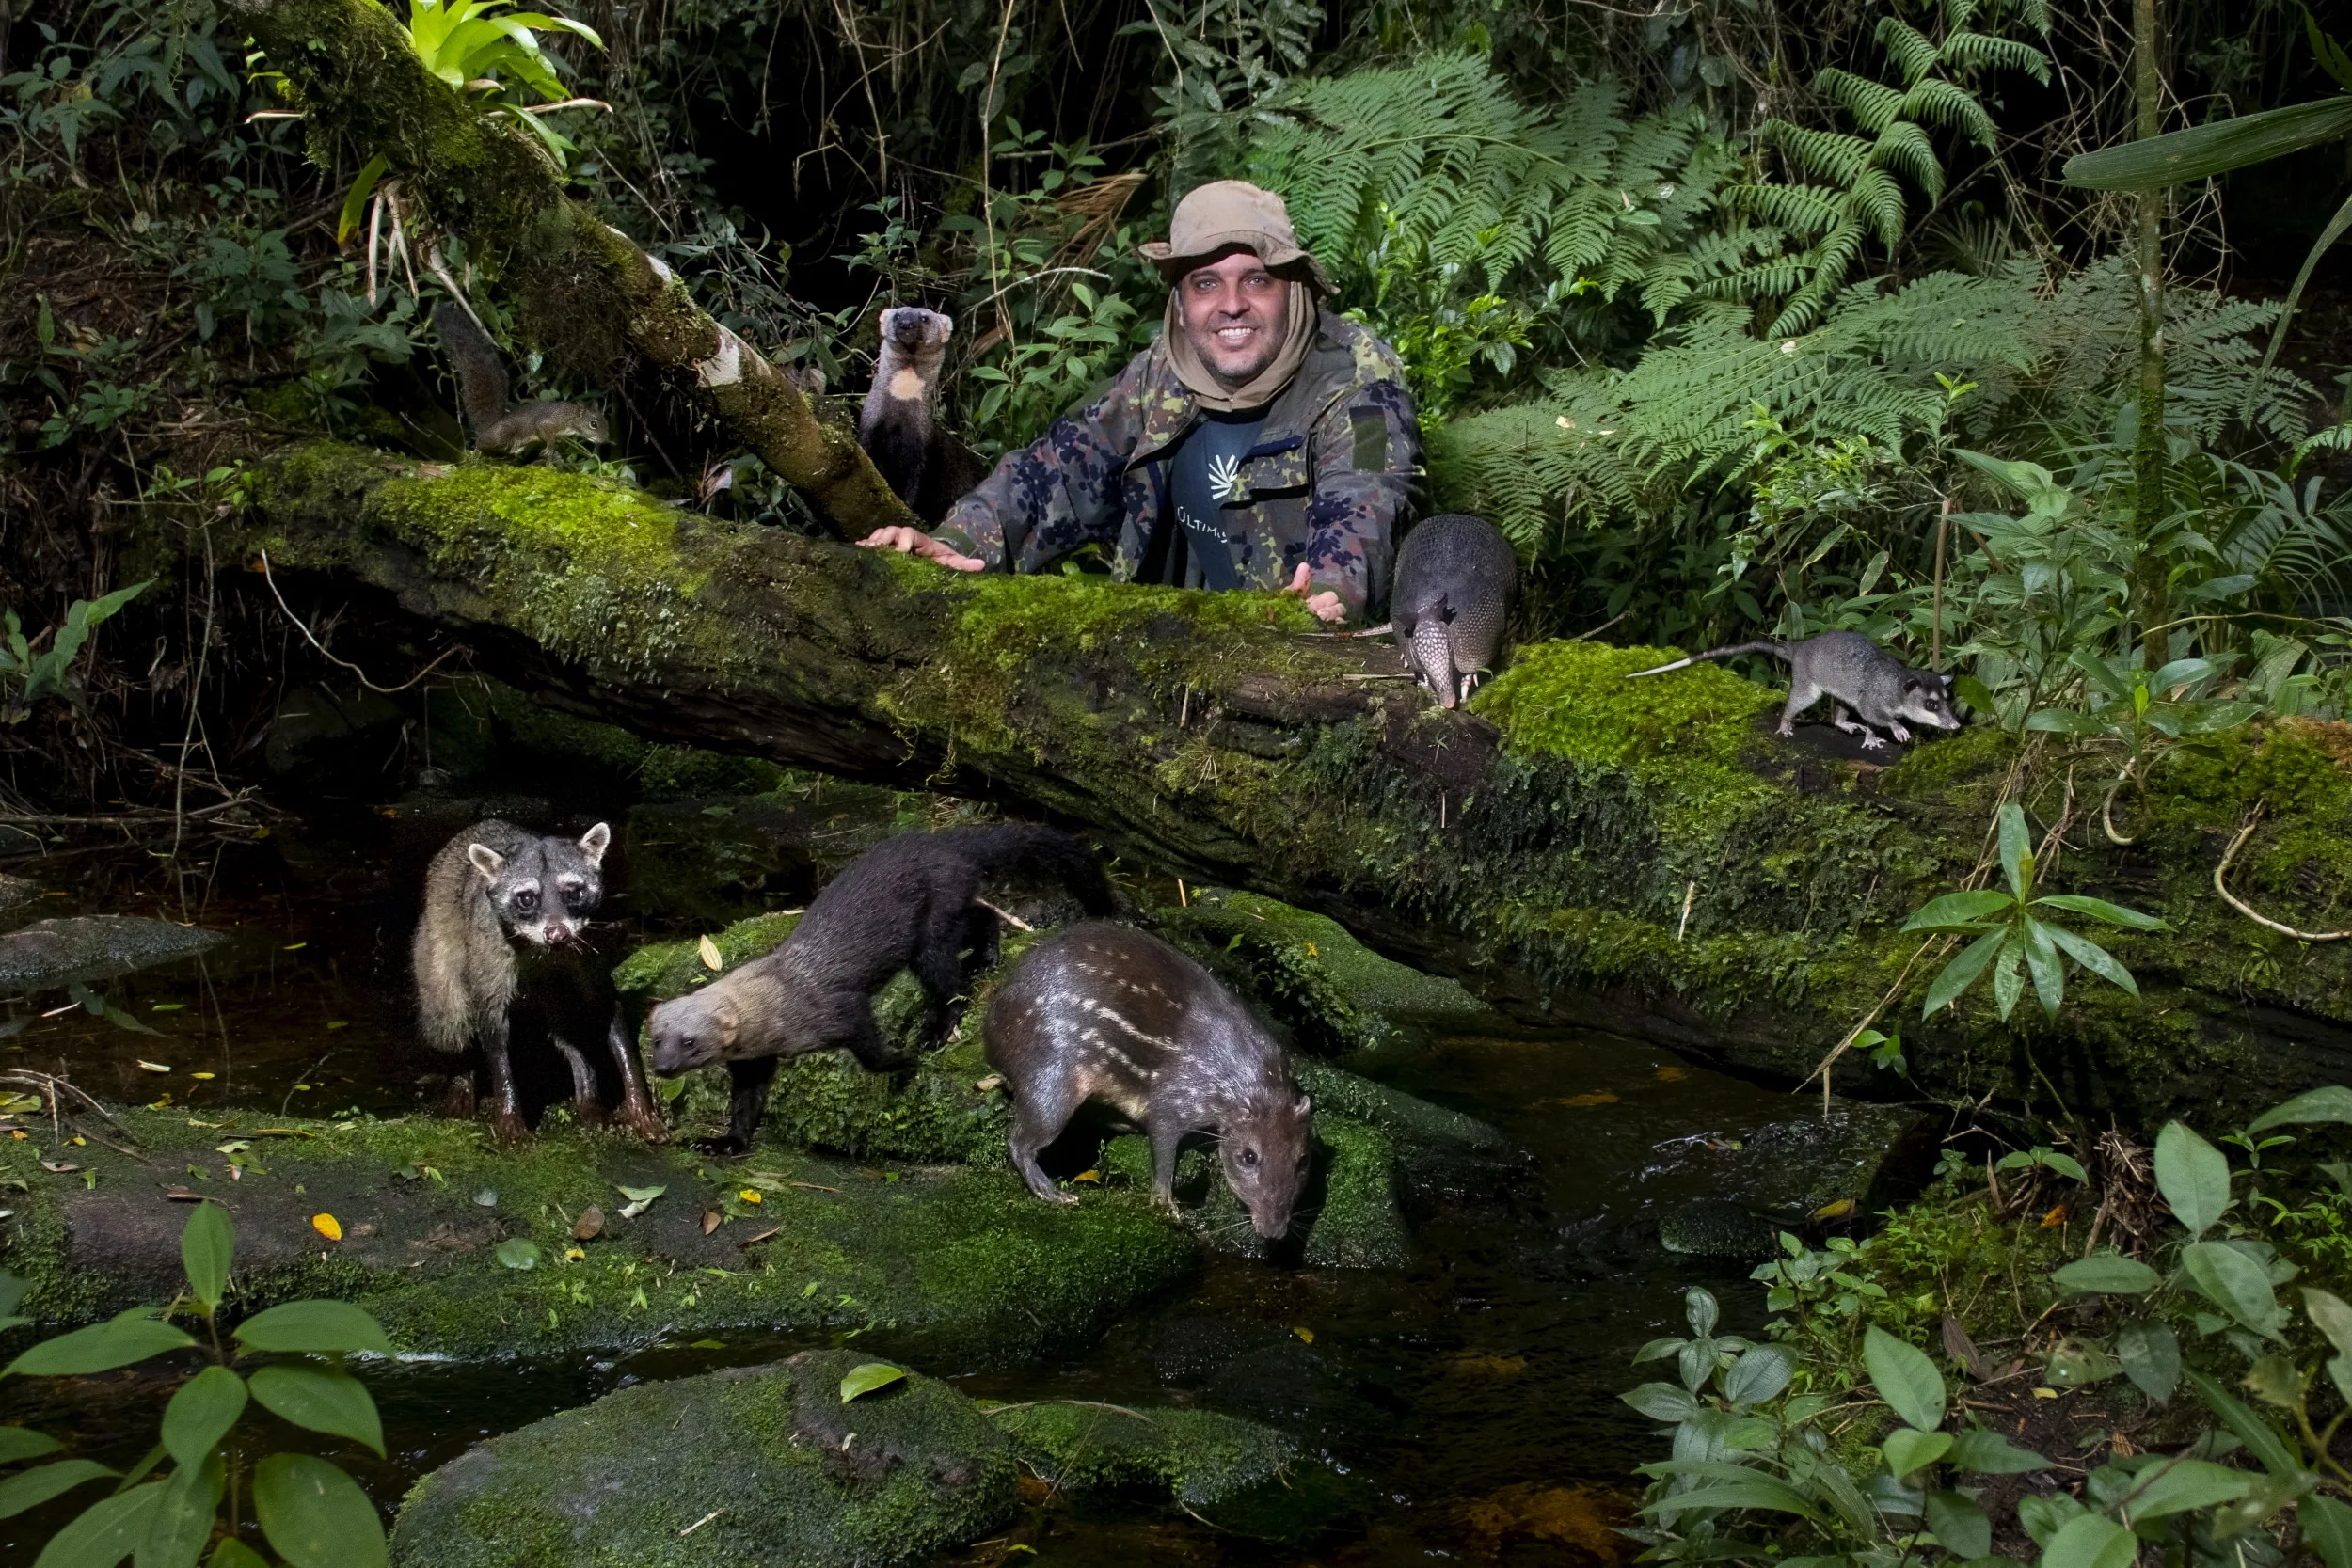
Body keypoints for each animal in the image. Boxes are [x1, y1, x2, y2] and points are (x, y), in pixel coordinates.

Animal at [433, 303, 612, 455]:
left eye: (605, 421)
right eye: (593, 424)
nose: (604, 440)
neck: (570, 418)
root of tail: (489, 428)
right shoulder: (551, 421)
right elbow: (544, 429)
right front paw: (551, 446)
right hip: (500, 435)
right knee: (481, 442)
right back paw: (476, 453)